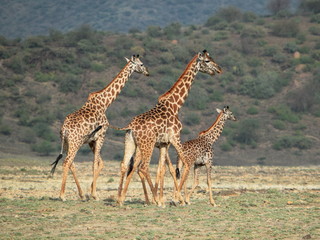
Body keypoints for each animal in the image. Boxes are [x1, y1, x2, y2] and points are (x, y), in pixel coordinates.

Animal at [50, 54, 150, 201]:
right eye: (141, 64)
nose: (147, 72)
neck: (105, 103)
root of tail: (64, 130)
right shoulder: (102, 135)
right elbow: (95, 164)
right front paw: (94, 194)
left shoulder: (91, 140)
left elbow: (99, 163)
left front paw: (90, 192)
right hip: (75, 142)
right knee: (67, 162)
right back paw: (62, 196)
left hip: (67, 143)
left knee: (71, 163)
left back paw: (81, 194)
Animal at [115, 49, 222, 206]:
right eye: (207, 61)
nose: (218, 69)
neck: (175, 105)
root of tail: (131, 127)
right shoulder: (175, 137)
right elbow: (183, 165)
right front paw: (177, 199)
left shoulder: (164, 143)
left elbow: (163, 168)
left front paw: (173, 198)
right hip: (147, 144)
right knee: (143, 167)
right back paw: (156, 200)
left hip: (131, 143)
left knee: (125, 165)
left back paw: (120, 199)